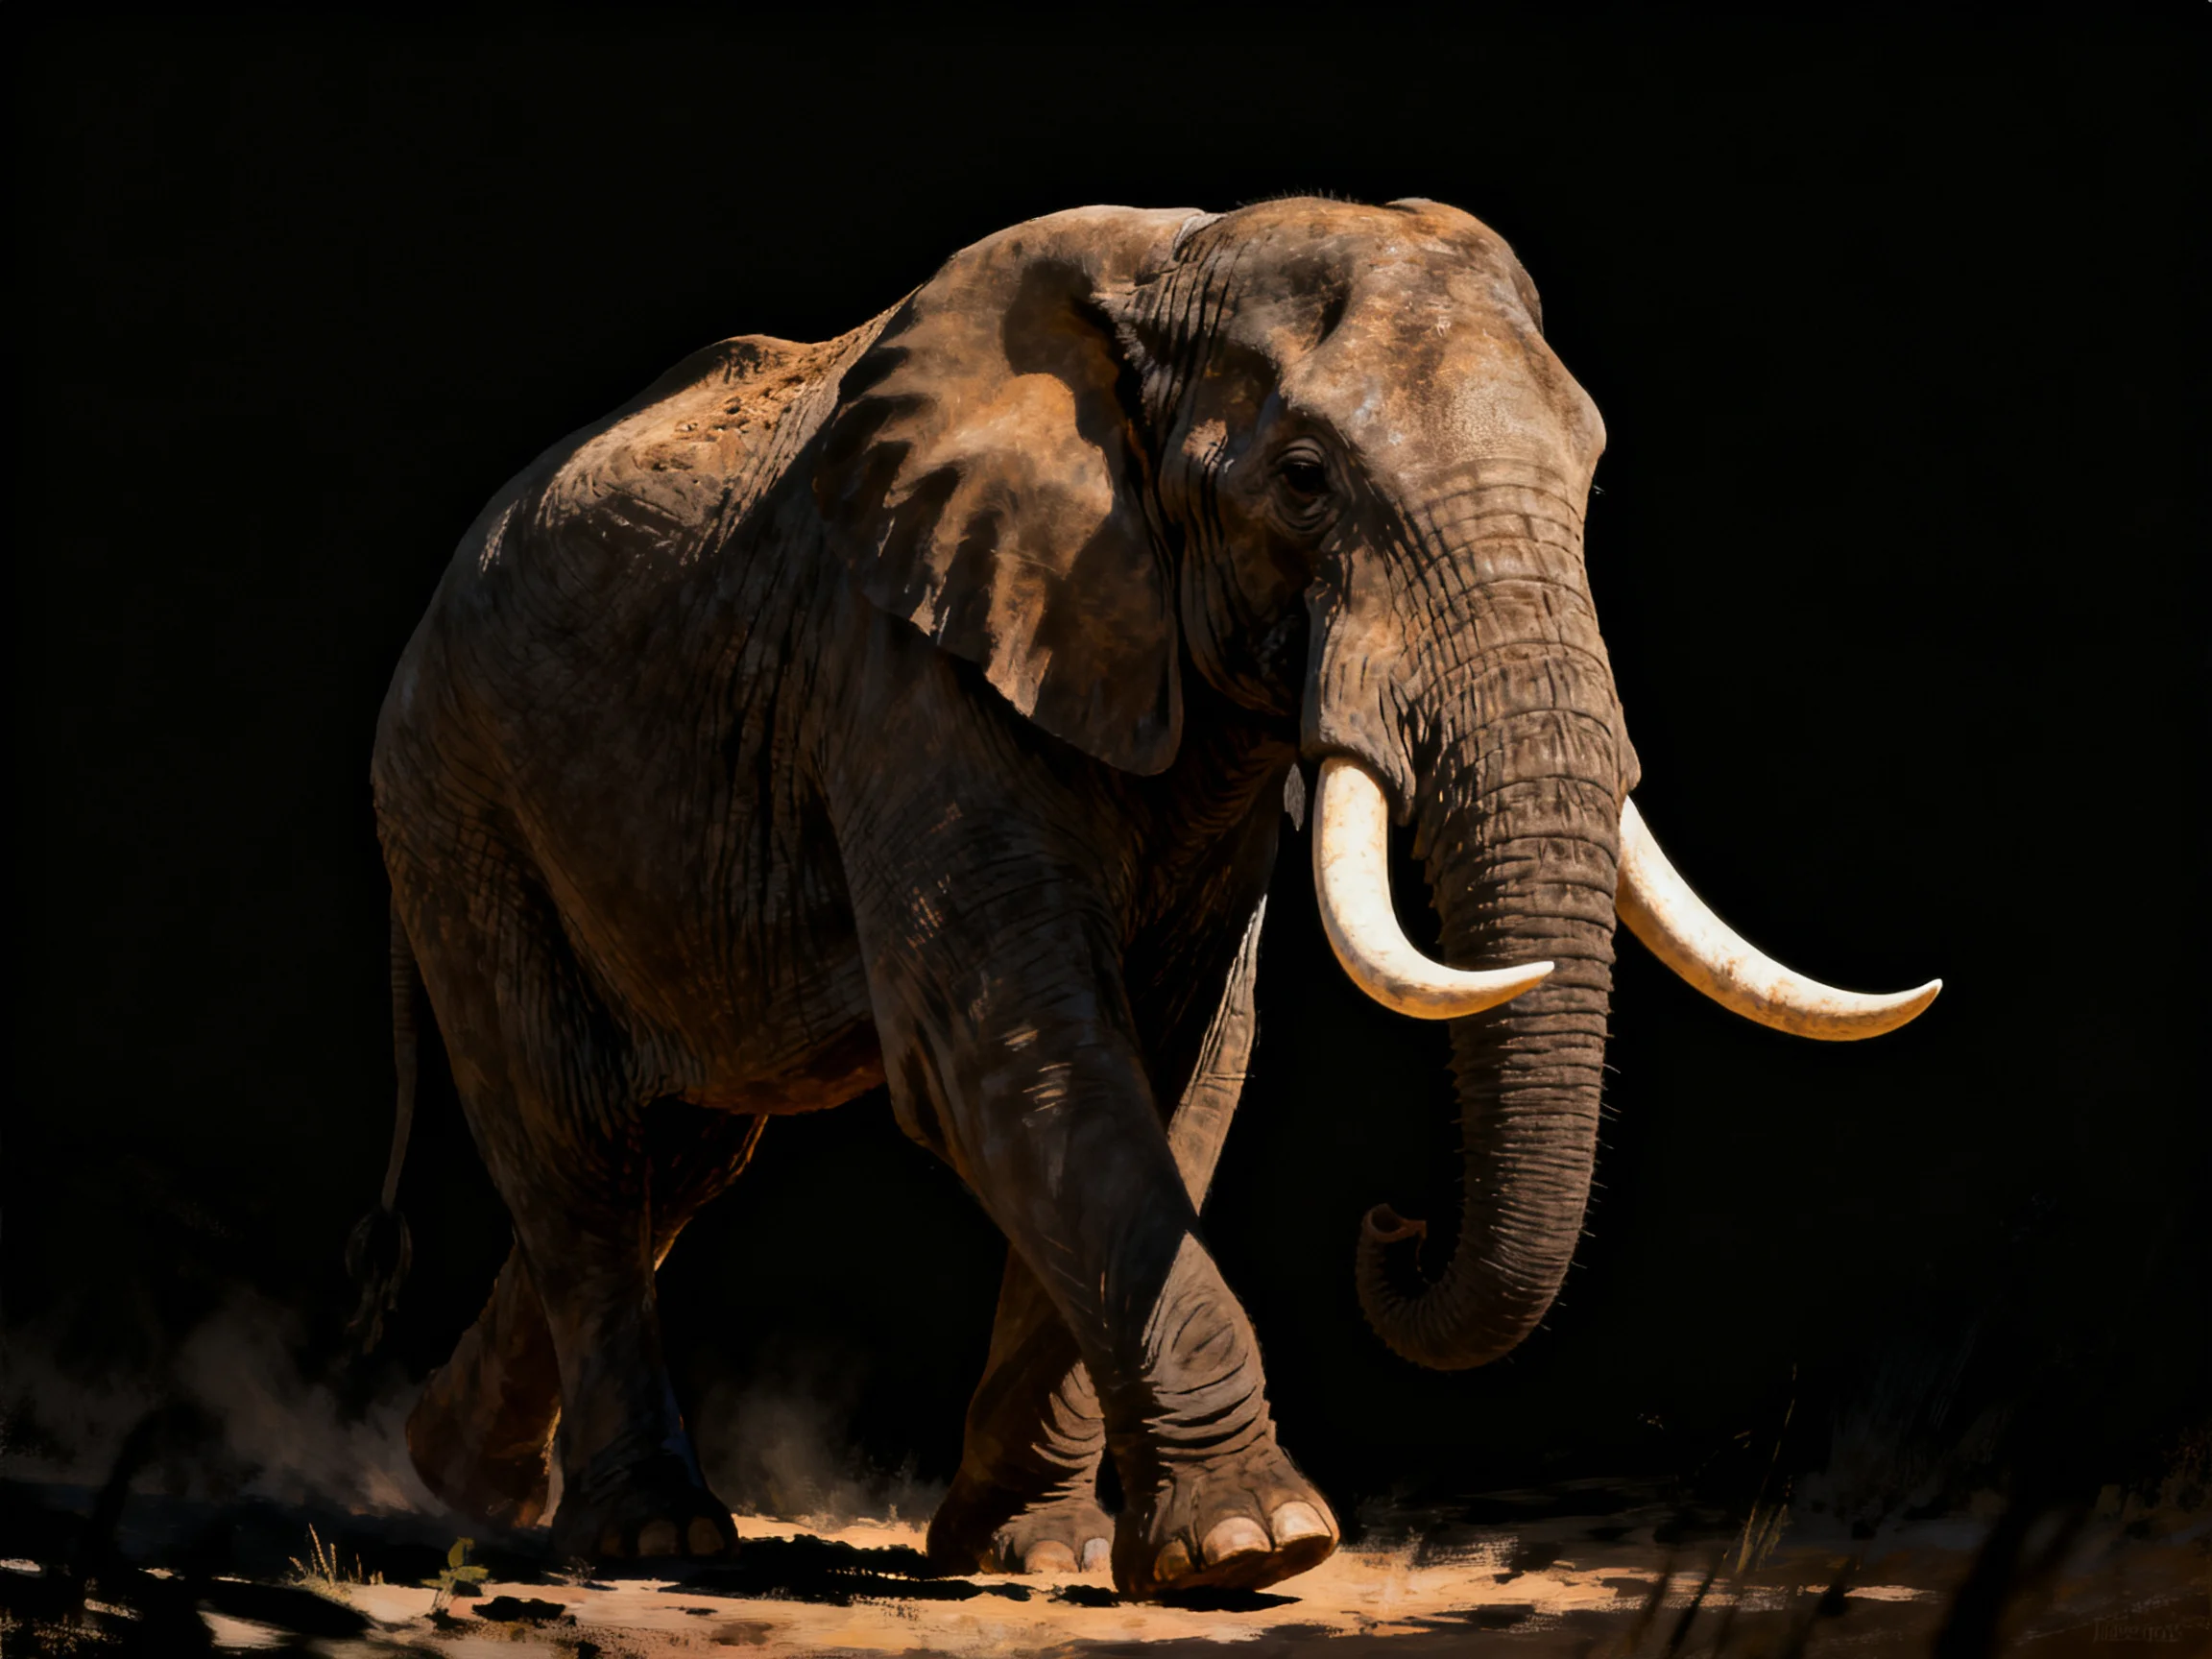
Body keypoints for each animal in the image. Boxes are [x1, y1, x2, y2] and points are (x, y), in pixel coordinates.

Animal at [357, 196, 1938, 1597]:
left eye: (1592, 476)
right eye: (1303, 478)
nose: (1394, 1230)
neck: (1174, 269)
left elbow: (1182, 1063)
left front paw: (1036, 1554)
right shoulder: (909, 664)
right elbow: (1020, 1054)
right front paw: (1259, 1549)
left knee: (678, 1157)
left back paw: (457, 1478)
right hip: (456, 796)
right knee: (579, 1143)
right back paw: (649, 1538)